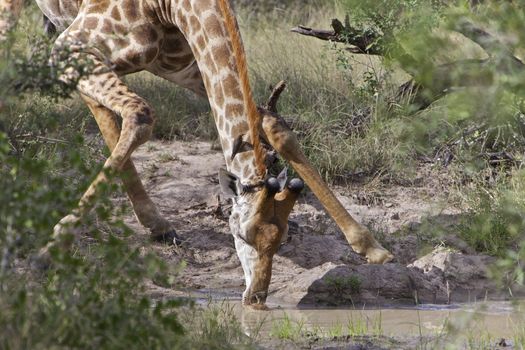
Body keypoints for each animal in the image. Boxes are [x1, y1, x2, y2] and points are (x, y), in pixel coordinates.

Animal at [1, 0, 392, 308]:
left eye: (281, 239)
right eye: (243, 235)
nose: (256, 298)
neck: (170, 8)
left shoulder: (185, 66)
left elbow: (274, 127)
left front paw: (372, 247)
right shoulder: (72, 45)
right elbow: (141, 115)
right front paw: (47, 251)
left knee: (98, 106)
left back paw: (158, 224)